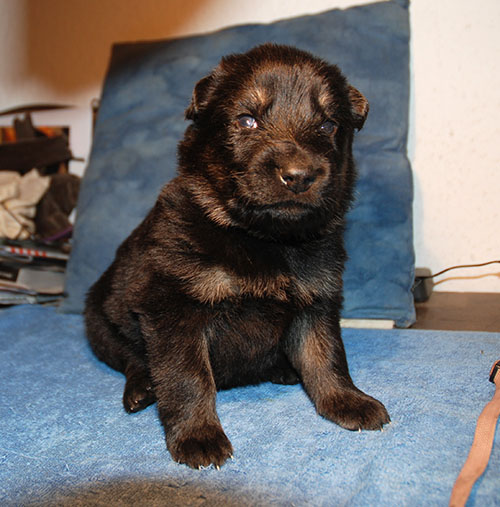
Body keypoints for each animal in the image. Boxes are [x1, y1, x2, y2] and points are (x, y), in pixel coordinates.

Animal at [84, 43, 390, 469]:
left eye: (328, 125)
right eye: (247, 120)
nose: (299, 175)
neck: (265, 239)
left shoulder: (317, 299)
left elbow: (326, 356)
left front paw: (347, 400)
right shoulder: (173, 307)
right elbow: (187, 377)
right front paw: (198, 436)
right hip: (100, 321)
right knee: (129, 357)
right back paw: (141, 387)